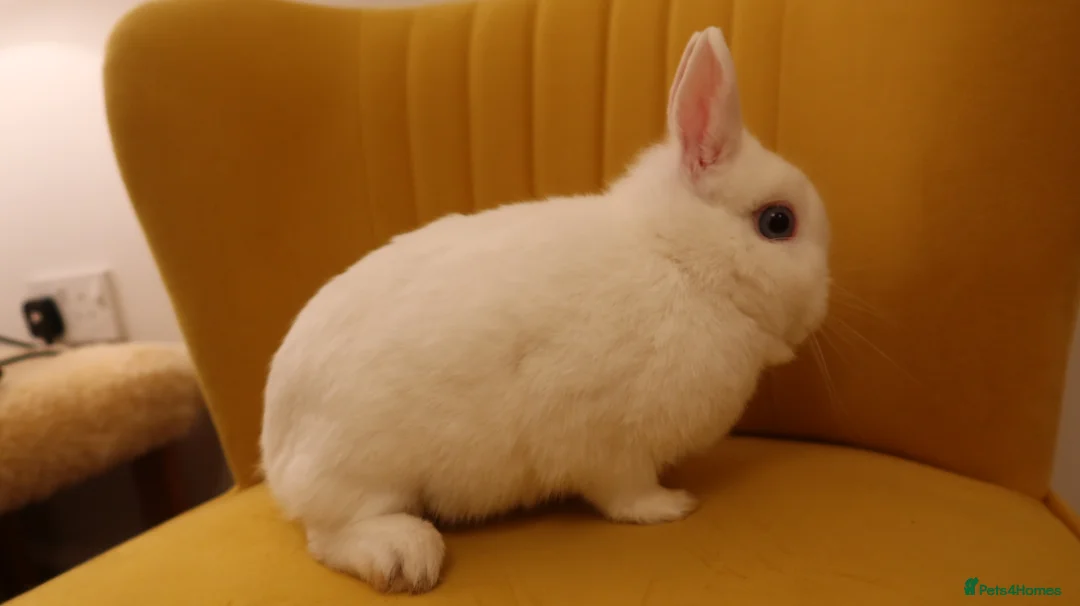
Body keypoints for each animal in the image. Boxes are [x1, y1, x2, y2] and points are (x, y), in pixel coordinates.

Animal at [260, 26, 830, 595]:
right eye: (778, 222)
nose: (821, 302)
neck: (680, 262)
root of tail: (276, 448)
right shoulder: (609, 440)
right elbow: (625, 492)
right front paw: (671, 506)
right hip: (362, 470)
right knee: (329, 533)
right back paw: (405, 556)